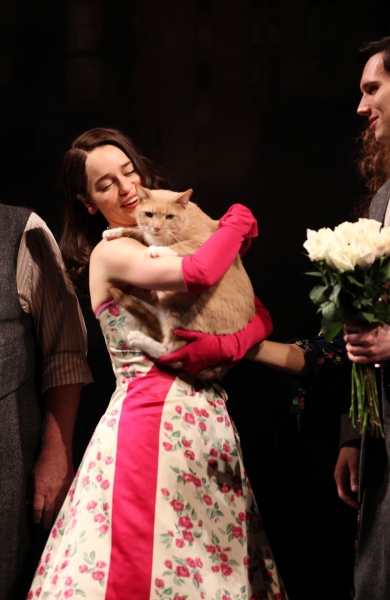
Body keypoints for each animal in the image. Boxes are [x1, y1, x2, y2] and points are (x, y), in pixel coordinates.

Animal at [105, 183, 254, 380]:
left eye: (169, 217)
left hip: (179, 313)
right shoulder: (146, 234)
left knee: (171, 353)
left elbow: (177, 246)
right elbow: (136, 231)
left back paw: (138, 338)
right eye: (149, 214)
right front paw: (113, 231)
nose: (156, 228)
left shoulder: (201, 241)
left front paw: (157, 250)